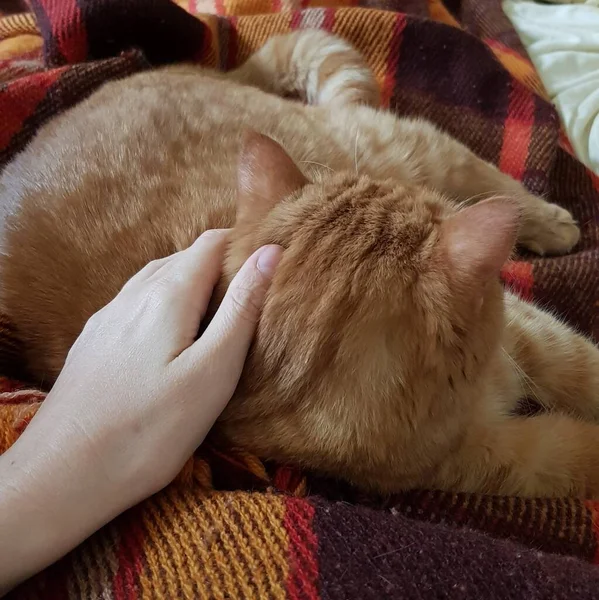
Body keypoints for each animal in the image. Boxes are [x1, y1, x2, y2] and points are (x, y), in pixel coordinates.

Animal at [1, 28, 599, 500]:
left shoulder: (529, 333)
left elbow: (579, 361)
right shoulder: (486, 460)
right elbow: (571, 455)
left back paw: (551, 221)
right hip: (385, 144)